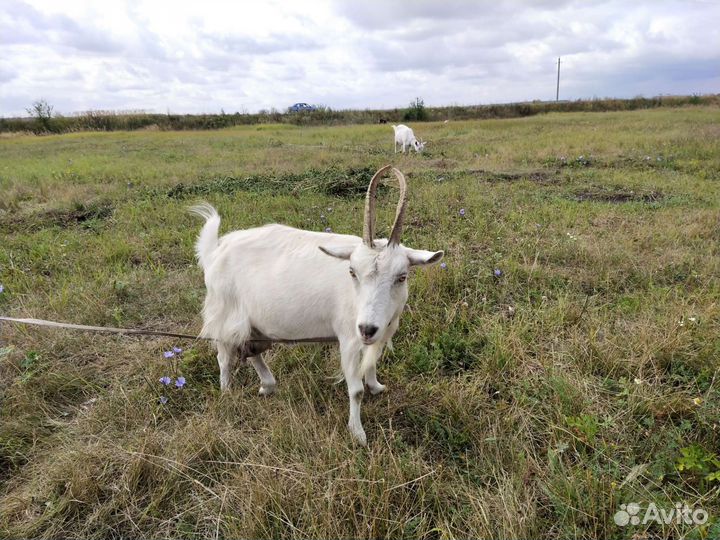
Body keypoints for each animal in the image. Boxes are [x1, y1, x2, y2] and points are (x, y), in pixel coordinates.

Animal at [190, 166, 443, 445]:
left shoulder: (378, 331)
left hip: (254, 321)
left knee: (252, 350)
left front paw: (377, 387)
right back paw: (227, 393)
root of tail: (215, 251)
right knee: (224, 356)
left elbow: (372, 363)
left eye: (402, 276)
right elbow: (355, 390)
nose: (367, 328)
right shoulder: (348, 337)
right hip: (224, 312)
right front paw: (358, 434)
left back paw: (268, 385)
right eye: (352, 271)